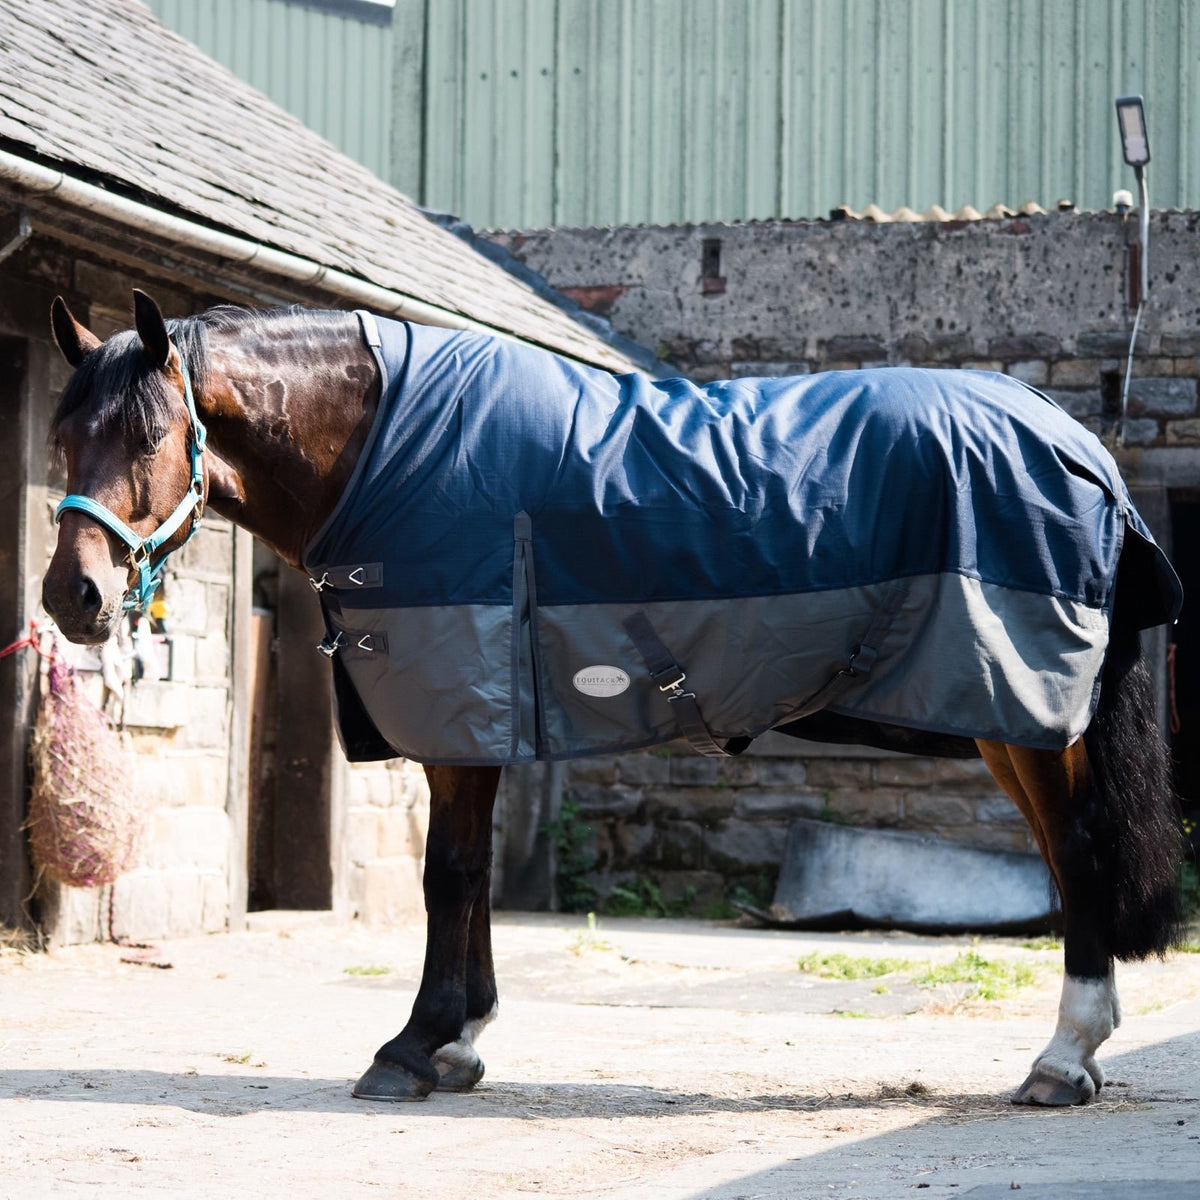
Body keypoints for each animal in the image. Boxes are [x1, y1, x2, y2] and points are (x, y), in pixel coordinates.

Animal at [41, 291, 1184, 1107]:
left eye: (148, 437)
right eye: (62, 440)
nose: (72, 596)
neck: (397, 450)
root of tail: (1077, 443)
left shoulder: (461, 707)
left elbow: (449, 876)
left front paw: (416, 1047)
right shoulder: (492, 711)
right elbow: (472, 879)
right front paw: (461, 1043)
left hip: (1024, 716)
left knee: (1080, 854)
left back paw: (1063, 1059)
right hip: (1016, 721)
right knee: (1066, 859)